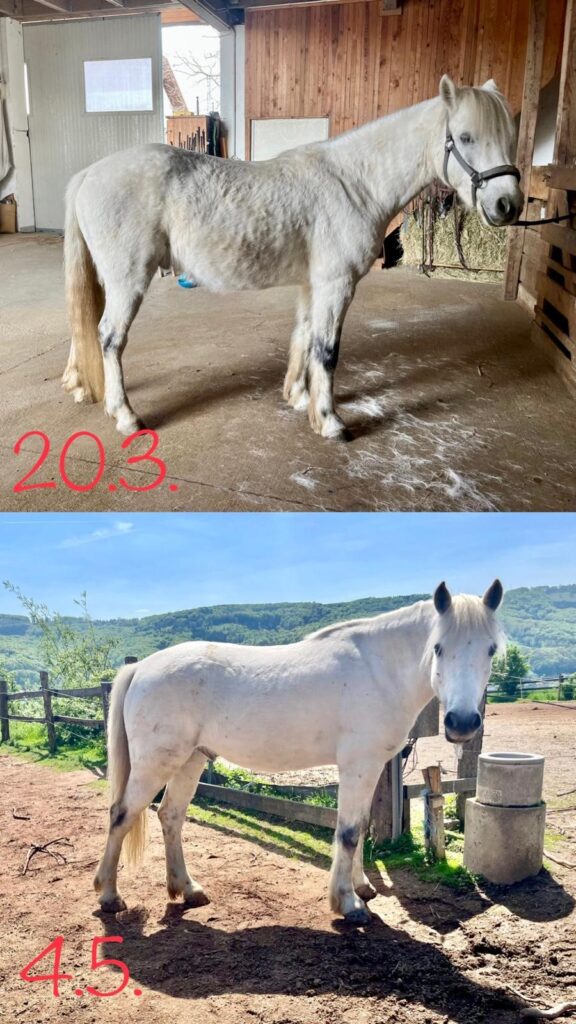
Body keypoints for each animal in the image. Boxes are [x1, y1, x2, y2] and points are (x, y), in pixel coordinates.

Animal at [62, 75, 522, 442]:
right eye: (465, 137)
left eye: (509, 137)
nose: (508, 205)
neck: (354, 183)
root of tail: (88, 174)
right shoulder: (337, 285)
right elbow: (327, 350)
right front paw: (330, 421)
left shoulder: (312, 285)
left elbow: (304, 337)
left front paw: (300, 398)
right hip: (127, 280)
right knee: (109, 337)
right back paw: (126, 415)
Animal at [94, 579, 505, 924]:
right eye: (438, 648)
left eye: (491, 650)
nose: (462, 722)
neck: (379, 670)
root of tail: (142, 668)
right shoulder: (358, 766)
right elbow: (348, 832)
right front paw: (348, 904)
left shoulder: (370, 767)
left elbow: (361, 825)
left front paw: (361, 887)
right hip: (155, 765)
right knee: (122, 815)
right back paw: (109, 896)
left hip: (190, 760)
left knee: (171, 816)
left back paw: (188, 889)